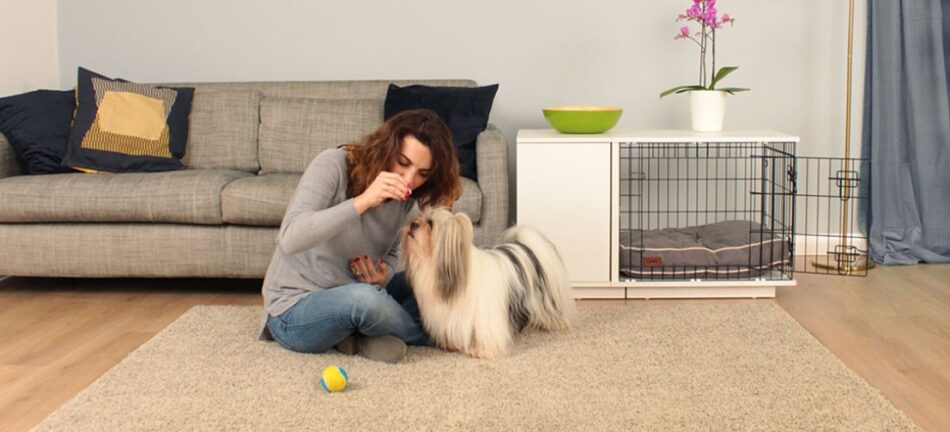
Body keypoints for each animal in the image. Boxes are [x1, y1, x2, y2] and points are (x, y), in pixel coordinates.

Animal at [400, 206, 576, 358]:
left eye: (430, 224)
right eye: (418, 217)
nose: (413, 224)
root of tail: (526, 248)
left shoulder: (486, 318)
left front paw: (480, 352)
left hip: (544, 298)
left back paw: (557, 323)